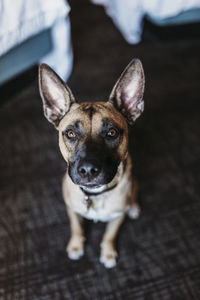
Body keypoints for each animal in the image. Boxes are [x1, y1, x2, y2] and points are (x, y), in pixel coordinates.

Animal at [38, 58, 145, 268]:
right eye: (70, 133)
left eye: (112, 132)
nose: (88, 170)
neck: (94, 195)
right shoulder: (71, 210)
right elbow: (76, 229)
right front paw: (76, 246)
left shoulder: (117, 217)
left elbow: (109, 235)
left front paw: (108, 253)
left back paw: (134, 207)